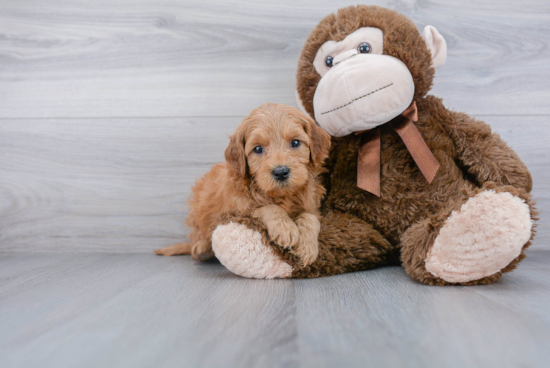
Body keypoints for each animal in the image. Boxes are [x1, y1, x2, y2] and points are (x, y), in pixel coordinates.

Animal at [157, 102, 334, 266]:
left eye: (295, 143)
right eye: (258, 149)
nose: (281, 172)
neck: (282, 195)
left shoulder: (311, 205)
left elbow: (310, 218)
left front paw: (307, 246)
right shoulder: (236, 210)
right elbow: (266, 208)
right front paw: (286, 229)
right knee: (197, 239)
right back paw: (202, 247)